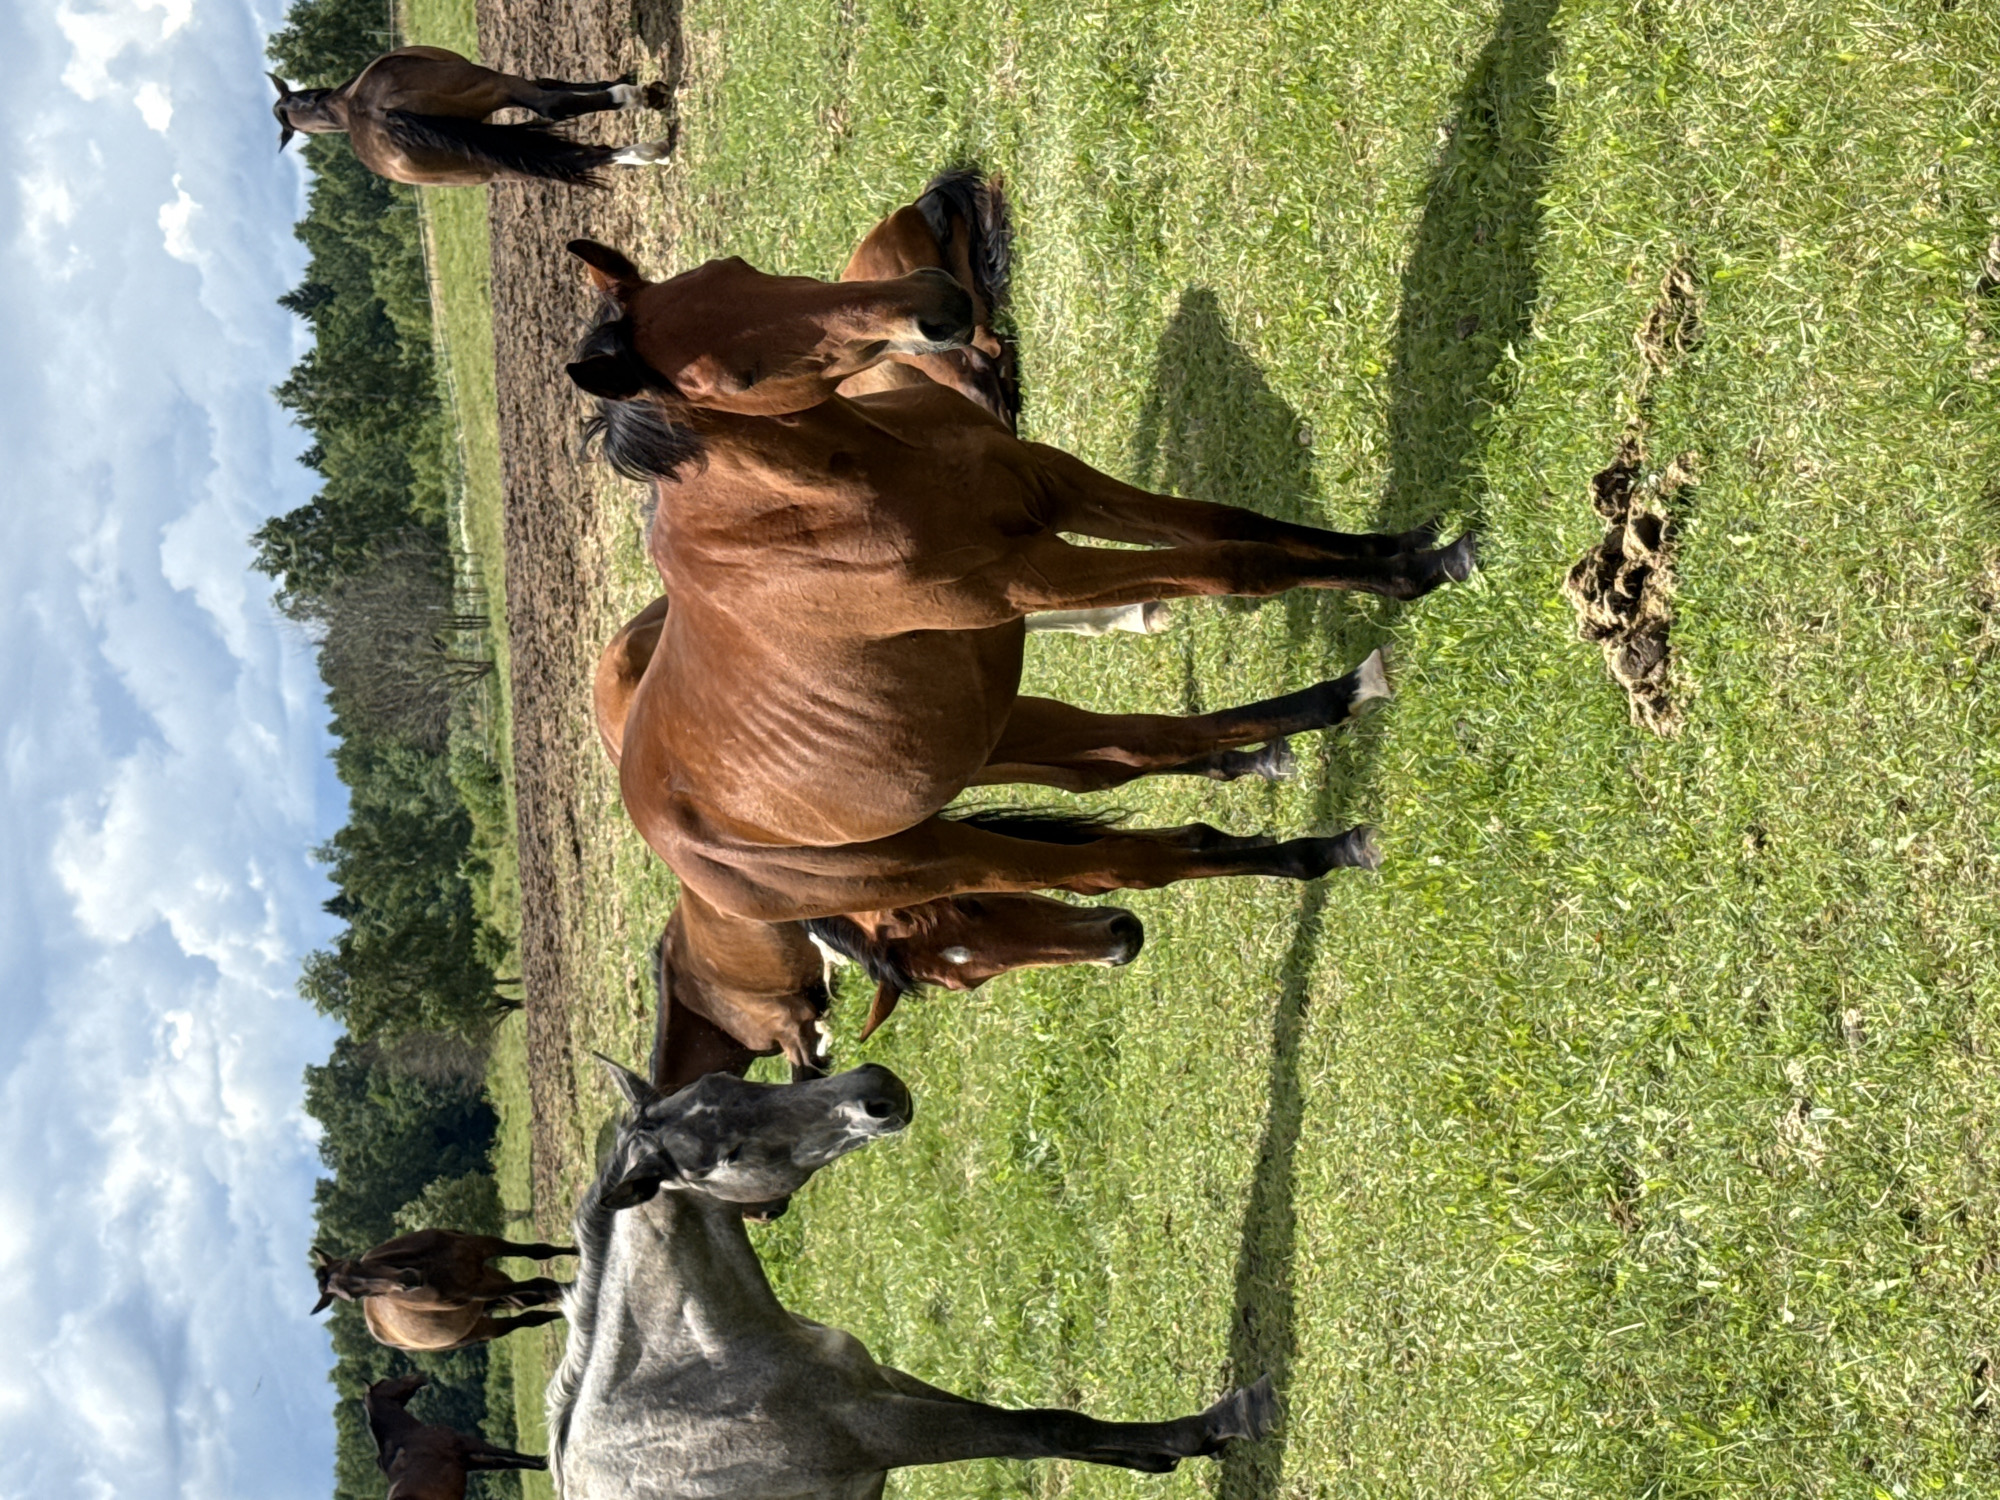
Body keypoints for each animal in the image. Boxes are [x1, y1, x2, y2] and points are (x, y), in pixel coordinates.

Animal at [268, 47, 674, 187]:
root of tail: (377, 113)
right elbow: (553, 91)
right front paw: (630, 87)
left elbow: (554, 80)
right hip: (495, 84)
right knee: (552, 107)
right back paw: (645, 102)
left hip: (494, 164)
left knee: (574, 157)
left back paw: (648, 152)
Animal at [313, 1229, 575, 1352]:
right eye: (355, 1297)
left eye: (355, 1263)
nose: (408, 1281)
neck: (432, 1266)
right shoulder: (480, 1290)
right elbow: (543, 1283)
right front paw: (574, 1289)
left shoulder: (484, 1246)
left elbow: (539, 1252)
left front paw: (576, 1251)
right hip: (484, 1324)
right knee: (530, 1314)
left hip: (491, 1285)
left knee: (529, 1303)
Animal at [366, 1373, 546, 1500]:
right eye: (385, 1381)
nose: (418, 1376)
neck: (407, 1436)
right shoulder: (467, 1444)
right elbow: (507, 1455)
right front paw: (543, 1461)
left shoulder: (470, 1461)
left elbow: (504, 1462)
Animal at [547, 1054, 1277, 1500]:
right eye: (727, 1154)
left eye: (734, 1080)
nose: (874, 1091)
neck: (695, 1373)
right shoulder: (878, 1431)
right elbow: (1043, 1429)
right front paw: (1222, 1421)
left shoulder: (878, 1381)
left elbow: (1040, 1425)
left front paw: (1153, 1455)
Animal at [561, 237, 1471, 927]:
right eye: (738, 377)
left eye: (739, 268)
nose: (935, 303)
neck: (847, 485)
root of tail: (675, 838)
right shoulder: (1037, 577)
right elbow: (1237, 565)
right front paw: (1414, 571)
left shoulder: (1060, 487)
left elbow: (1231, 523)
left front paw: (1407, 550)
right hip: (937, 857)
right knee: (1119, 864)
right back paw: (1318, 832)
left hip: (996, 729)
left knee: (1126, 753)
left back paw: (1327, 729)